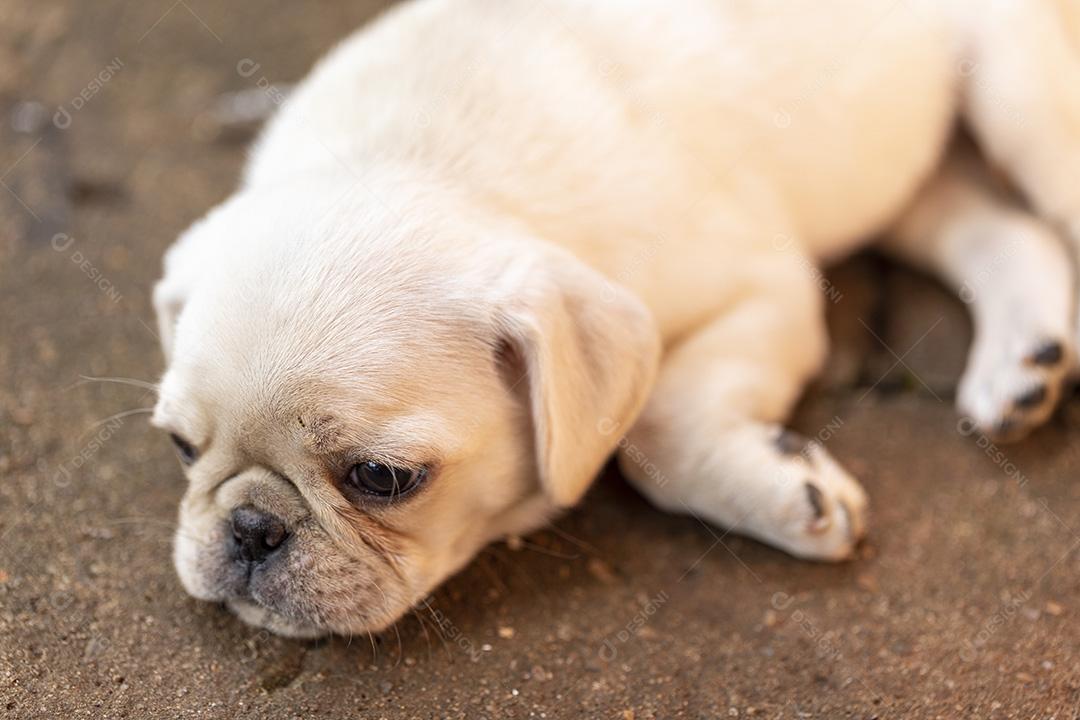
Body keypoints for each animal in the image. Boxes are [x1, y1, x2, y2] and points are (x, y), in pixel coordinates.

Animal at [150, 0, 1080, 639]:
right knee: (1000, 229)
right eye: (182, 448)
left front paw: (783, 491)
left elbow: (653, 432)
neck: (427, 161)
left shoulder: (767, 289)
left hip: (1022, 95)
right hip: (911, 170)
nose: (251, 529)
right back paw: (1022, 362)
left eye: (382, 479)